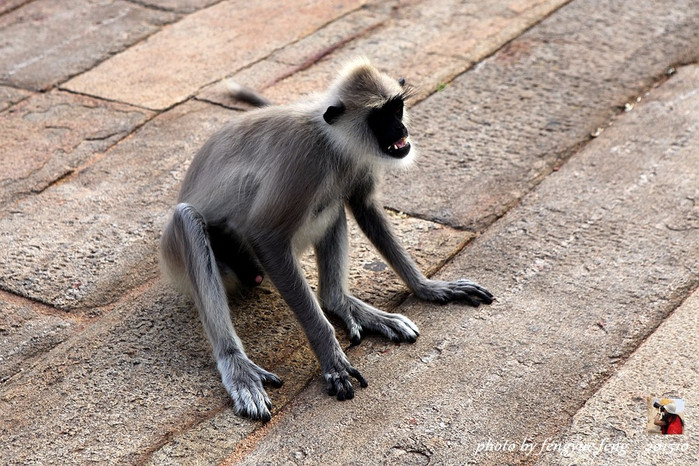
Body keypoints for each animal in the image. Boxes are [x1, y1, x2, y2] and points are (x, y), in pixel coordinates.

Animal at [161, 56, 494, 420]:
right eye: (380, 117)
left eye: (397, 108)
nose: (401, 131)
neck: (332, 140)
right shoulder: (303, 162)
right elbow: (265, 235)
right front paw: (331, 359)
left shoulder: (355, 161)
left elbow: (363, 206)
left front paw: (429, 288)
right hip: (197, 259)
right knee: (189, 220)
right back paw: (236, 365)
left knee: (334, 203)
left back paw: (341, 302)